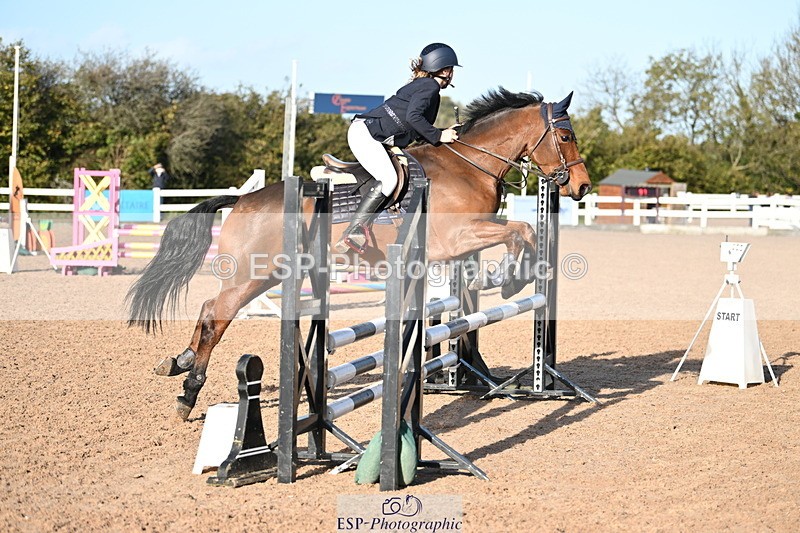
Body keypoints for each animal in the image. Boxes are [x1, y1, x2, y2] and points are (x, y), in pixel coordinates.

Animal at [126, 87, 592, 420]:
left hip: (265, 275)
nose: (582, 186)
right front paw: (513, 280)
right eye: (565, 135)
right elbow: (521, 230)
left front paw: (515, 279)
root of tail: (242, 200)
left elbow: (521, 233)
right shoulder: (457, 238)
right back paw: (188, 393)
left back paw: (179, 363)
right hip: (254, 276)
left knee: (209, 308)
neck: (467, 164)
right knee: (217, 316)